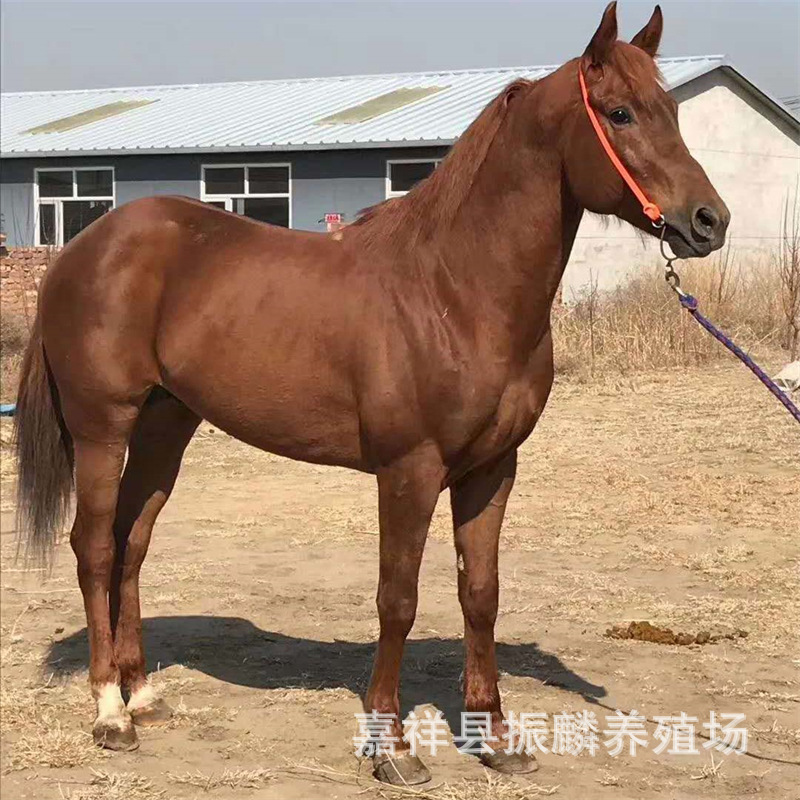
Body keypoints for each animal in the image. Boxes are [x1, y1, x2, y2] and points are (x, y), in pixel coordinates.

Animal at [14, 2, 728, 785]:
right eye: (620, 112)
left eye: (672, 111)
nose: (709, 221)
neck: (455, 290)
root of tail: (85, 244)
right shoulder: (408, 471)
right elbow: (399, 600)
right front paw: (394, 748)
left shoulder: (492, 470)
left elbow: (480, 595)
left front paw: (496, 738)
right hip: (102, 427)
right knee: (94, 548)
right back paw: (111, 713)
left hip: (165, 424)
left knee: (132, 542)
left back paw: (143, 695)